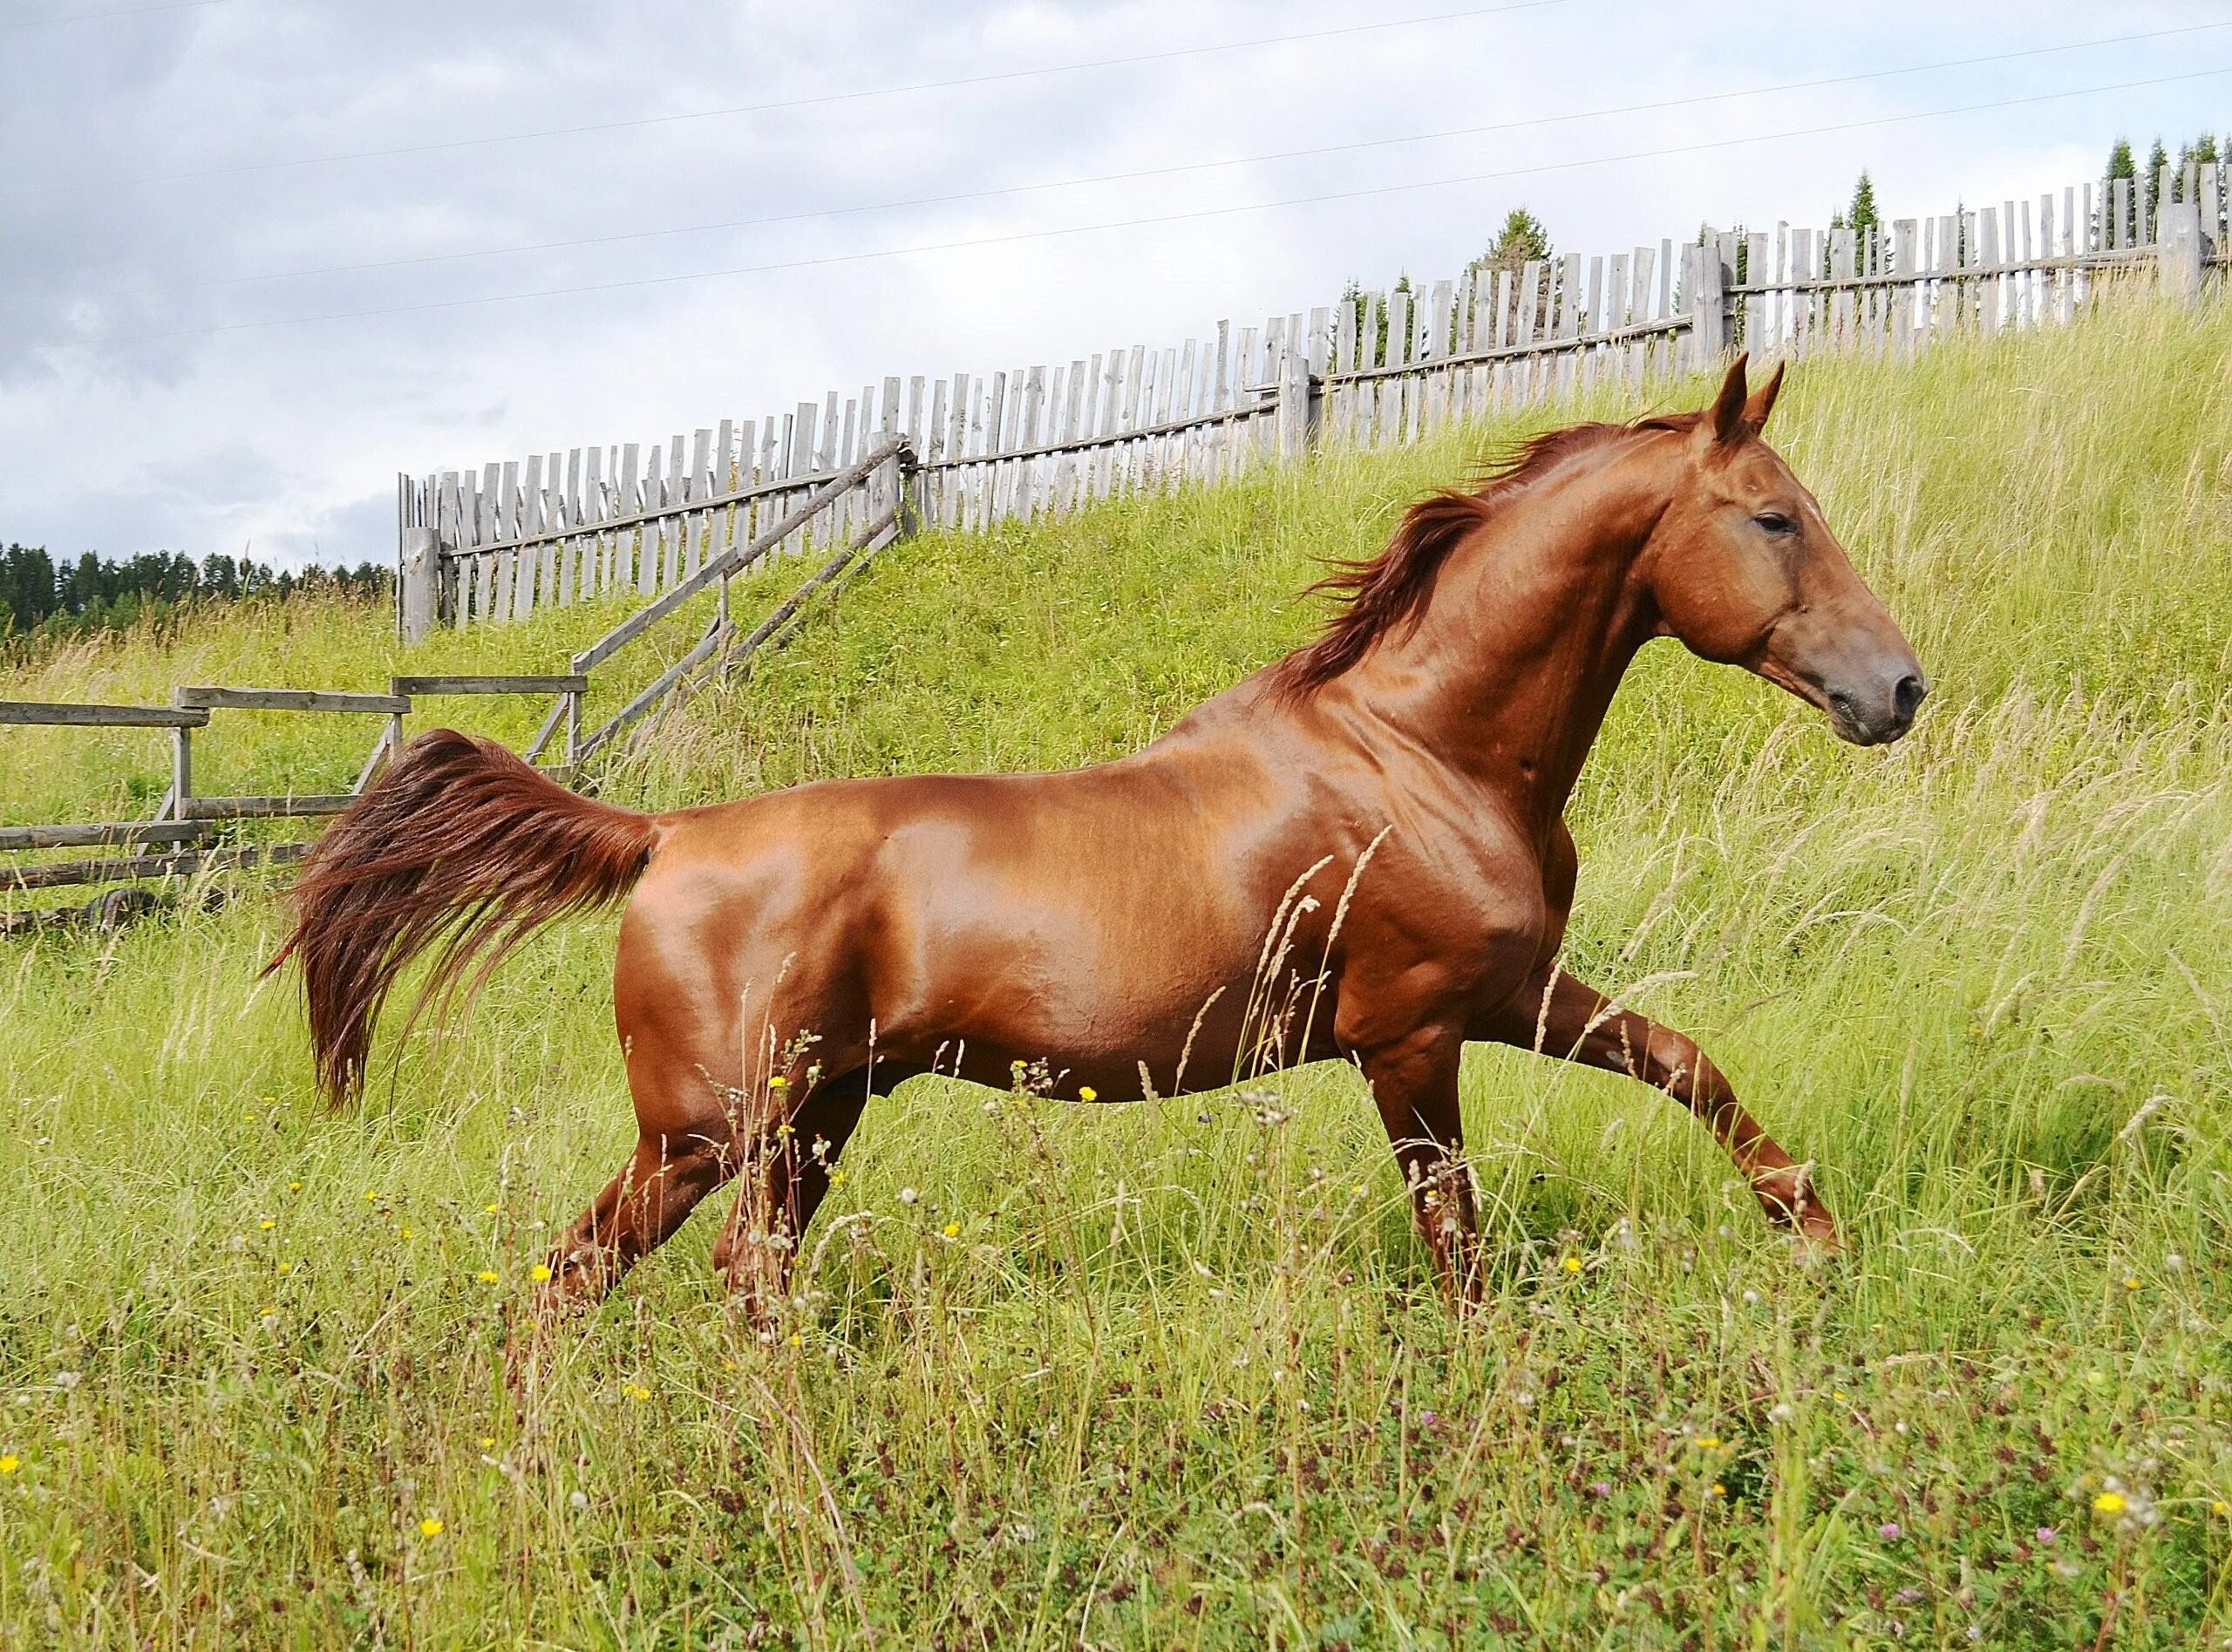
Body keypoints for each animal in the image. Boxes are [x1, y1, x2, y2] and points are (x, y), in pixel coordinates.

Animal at [274, 355, 1919, 1312]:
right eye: (1774, 516)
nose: (1896, 688)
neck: (1421, 754)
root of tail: (663, 835)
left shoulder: (1508, 993)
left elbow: (1688, 1065)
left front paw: (1816, 1236)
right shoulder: (1409, 1035)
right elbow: (1454, 1236)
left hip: (810, 1117)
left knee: (677, 1276)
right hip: (716, 1128)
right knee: (637, 1276)